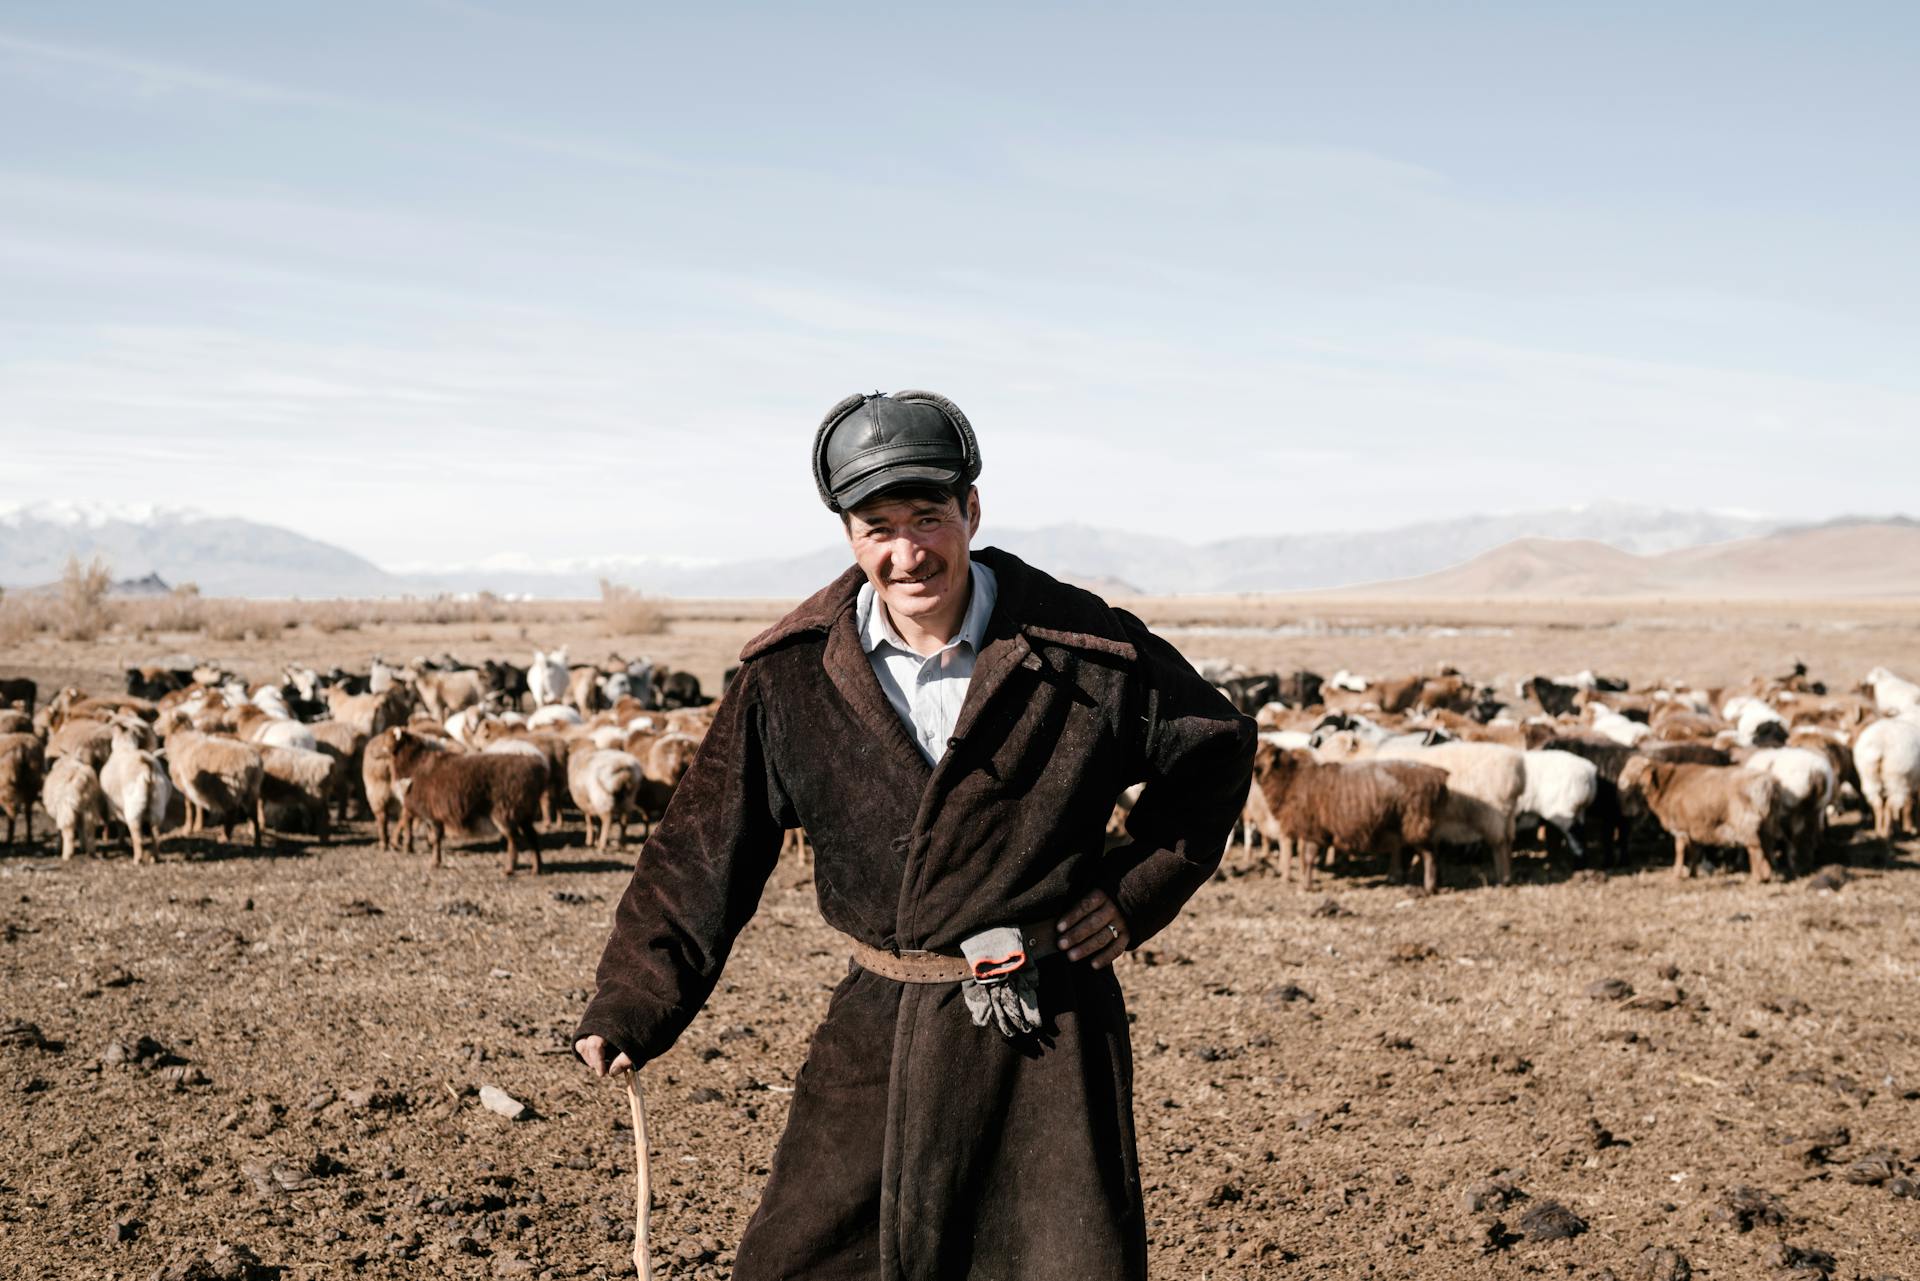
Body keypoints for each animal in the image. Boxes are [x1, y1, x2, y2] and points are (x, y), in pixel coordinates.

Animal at [100, 725, 171, 868]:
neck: (125, 746)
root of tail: (148, 767)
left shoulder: (113, 807)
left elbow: (119, 825)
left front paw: (120, 844)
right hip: (157, 806)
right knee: (155, 834)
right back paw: (154, 857)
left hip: (133, 809)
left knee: (137, 836)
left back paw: (137, 860)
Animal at [385, 729, 545, 871]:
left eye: (390, 738)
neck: (415, 764)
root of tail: (538, 766)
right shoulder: (433, 815)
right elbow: (434, 837)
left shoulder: (431, 815)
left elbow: (436, 838)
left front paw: (435, 863)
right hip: (523, 812)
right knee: (532, 836)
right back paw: (536, 868)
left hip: (505, 810)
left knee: (513, 839)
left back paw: (509, 869)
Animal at [1251, 741, 1443, 891]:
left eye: (1259, 750)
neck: (1291, 779)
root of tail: (1436, 776)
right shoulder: (1310, 829)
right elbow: (1305, 857)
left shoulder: (1312, 829)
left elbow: (1308, 858)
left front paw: (1305, 886)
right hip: (1404, 824)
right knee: (1411, 852)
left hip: (1416, 822)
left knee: (1429, 855)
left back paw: (1428, 887)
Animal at [1374, 741, 1520, 883]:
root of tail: (1517, 769)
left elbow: (1397, 848)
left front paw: (1395, 875)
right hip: (1507, 814)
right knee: (1508, 840)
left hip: (1493, 814)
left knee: (1500, 844)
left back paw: (1504, 878)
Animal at [1620, 756, 1797, 887]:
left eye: (1637, 769)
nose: (1621, 782)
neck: (1666, 785)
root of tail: (1769, 784)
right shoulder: (1693, 827)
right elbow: (1694, 851)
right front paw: (1692, 874)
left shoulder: (1680, 827)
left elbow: (1680, 851)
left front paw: (1676, 875)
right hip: (1768, 821)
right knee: (1767, 846)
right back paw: (1766, 876)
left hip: (1746, 822)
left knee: (1755, 849)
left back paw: (1756, 879)